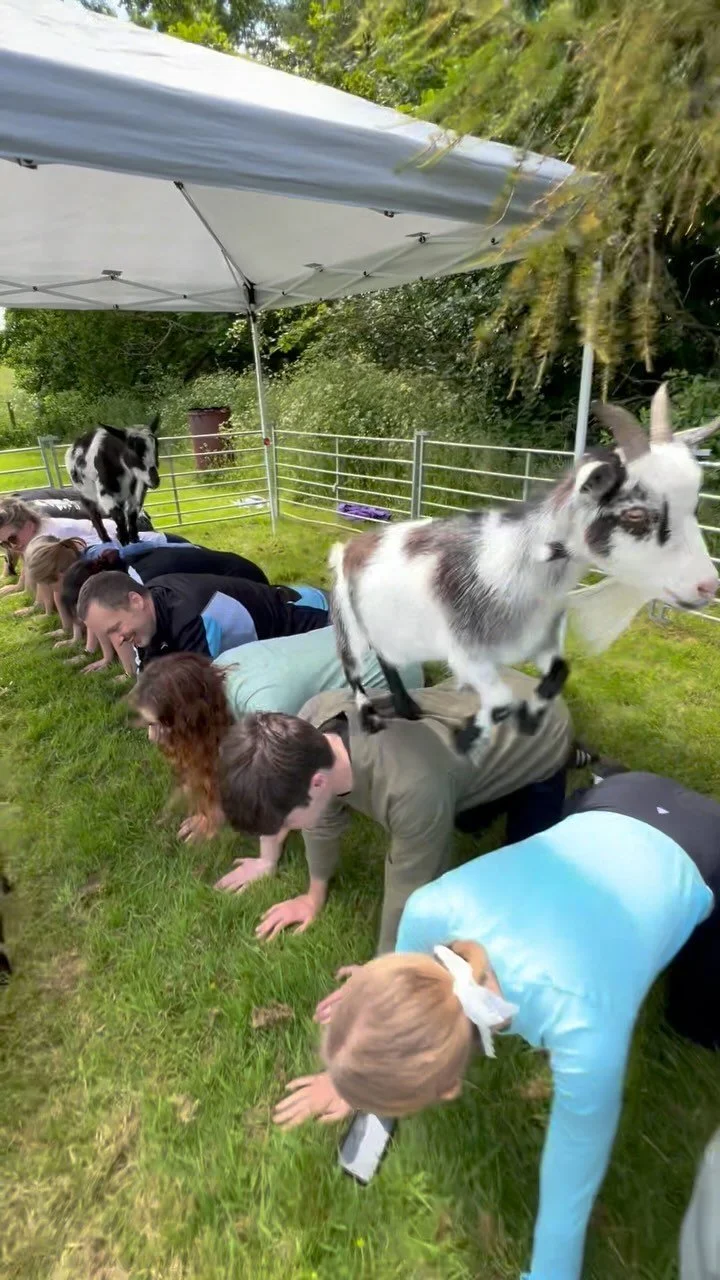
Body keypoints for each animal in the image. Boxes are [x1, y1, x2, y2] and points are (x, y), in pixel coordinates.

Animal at [65, 414, 161, 546]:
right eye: (132, 448)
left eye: (157, 446)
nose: (155, 480)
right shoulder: (105, 490)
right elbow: (118, 515)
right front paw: (124, 540)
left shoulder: (138, 490)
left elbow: (132, 514)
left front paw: (134, 539)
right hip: (85, 493)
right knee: (95, 515)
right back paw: (106, 539)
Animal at [331, 386, 720, 752]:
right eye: (636, 514)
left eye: (694, 506)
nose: (707, 586)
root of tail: (351, 546)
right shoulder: (468, 652)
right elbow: (500, 700)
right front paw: (470, 737)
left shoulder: (541, 640)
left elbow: (558, 673)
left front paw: (529, 719)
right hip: (350, 624)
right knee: (354, 670)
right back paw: (376, 714)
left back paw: (406, 706)